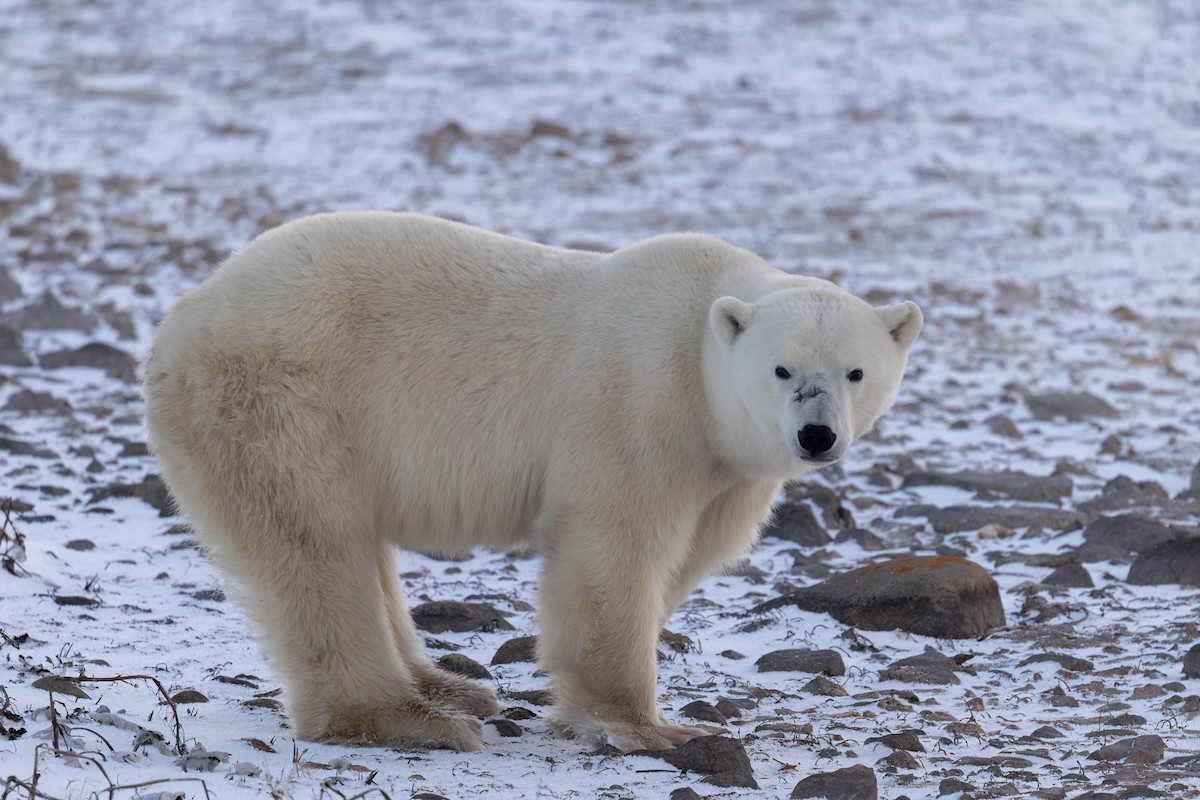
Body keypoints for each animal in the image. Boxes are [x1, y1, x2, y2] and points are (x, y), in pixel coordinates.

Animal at [143, 212, 922, 752]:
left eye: (855, 371)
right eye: (782, 369)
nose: (816, 435)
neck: (700, 347)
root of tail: (182, 320)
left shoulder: (725, 471)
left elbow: (692, 551)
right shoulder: (637, 405)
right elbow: (614, 549)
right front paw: (650, 726)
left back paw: (450, 687)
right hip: (285, 397)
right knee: (314, 542)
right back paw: (406, 716)